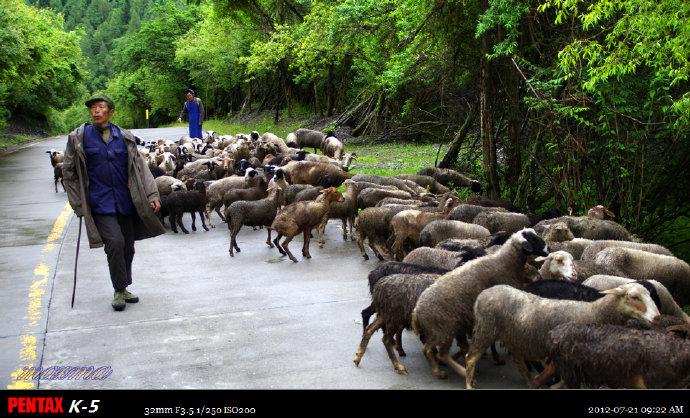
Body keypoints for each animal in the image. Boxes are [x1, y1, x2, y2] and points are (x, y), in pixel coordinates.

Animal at [408, 227, 548, 380]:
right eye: (532, 239)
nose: (548, 249)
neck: (504, 262)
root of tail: (416, 312)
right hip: (444, 329)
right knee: (435, 352)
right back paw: (451, 372)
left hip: (444, 329)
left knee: (431, 350)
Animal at [464, 282, 660, 386]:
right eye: (634, 297)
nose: (657, 317)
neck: (594, 312)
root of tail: (484, 293)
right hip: (486, 329)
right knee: (470, 358)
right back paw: (469, 384)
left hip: (514, 336)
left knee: (518, 361)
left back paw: (530, 381)